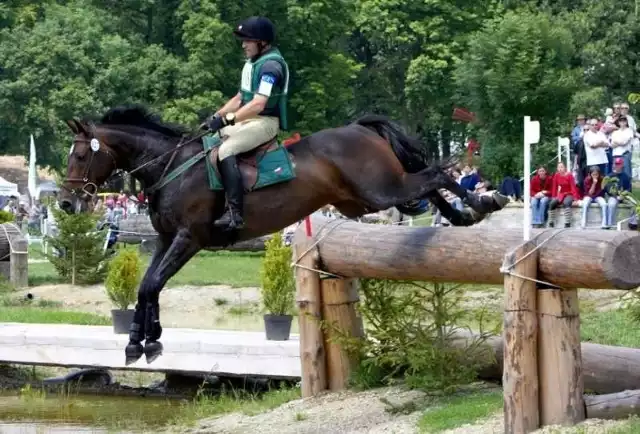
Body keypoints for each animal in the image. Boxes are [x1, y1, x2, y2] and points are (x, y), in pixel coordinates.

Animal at [60, 105, 510, 362]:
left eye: (80, 155)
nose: (65, 203)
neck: (171, 167)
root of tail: (360, 128)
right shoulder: (167, 241)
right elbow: (146, 286)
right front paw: (140, 340)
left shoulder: (189, 239)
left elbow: (152, 284)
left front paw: (146, 342)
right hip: (364, 200)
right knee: (425, 184)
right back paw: (463, 215)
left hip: (379, 191)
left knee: (435, 175)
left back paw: (483, 203)